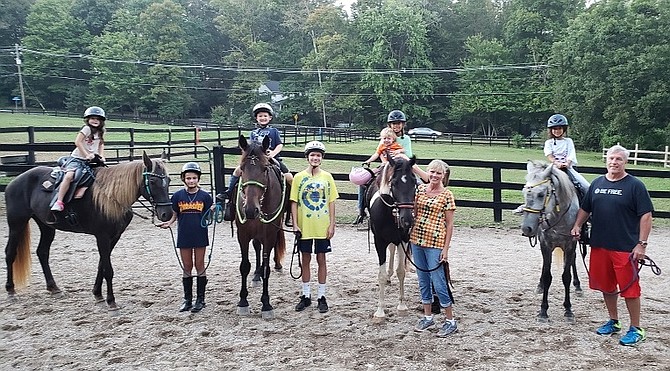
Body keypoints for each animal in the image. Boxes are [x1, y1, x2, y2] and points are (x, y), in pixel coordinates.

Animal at [3, 152, 172, 310]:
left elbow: (101, 265)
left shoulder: (114, 237)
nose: (167, 214)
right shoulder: (102, 237)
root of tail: (14, 182)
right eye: (152, 181)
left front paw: (98, 294)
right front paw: (111, 301)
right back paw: (11, 290)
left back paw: (53, 287)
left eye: (168, 180)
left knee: (42, 252)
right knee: (10, 252)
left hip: (46, 226)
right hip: (17, 223)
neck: (111, 197)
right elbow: (108, 269)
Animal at [232, 136, 288, 320]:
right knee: (257, 248)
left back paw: (276, 265)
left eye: (264, 169)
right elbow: (244, 266)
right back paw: (256, 276)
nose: (250, 209)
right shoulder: (242, 234)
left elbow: (266, 269)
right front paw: (243, 302)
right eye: (242, 168)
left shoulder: (269, 234)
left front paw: (266, 304)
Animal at [364, 155, 418, 318]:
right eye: (393, 183)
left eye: (414, 182)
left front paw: (402, 306)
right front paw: (380, 311)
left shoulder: (403, 240)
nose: (407, 220)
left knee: (393, 250)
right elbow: (380, 275)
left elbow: (401, 271)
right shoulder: (379, 242)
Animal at [520, 162, 584, 322]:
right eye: (524, 192)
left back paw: (578, 286)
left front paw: (568, 310)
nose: (526, 228)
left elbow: (566, 276)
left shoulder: (570, 244)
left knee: (573, 260)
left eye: (541, 194)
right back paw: (540, 285)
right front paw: (543, 311)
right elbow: (547, 275)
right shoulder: (546, 244)